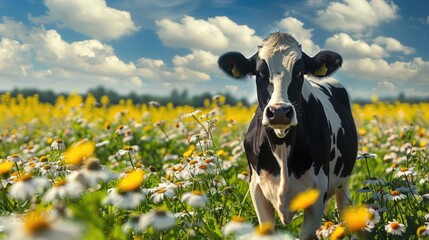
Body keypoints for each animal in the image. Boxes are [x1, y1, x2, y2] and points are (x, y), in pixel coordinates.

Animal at [217, 32, 358, 240]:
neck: (281, 145)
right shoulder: (256, 188)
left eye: (300, 73)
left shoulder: (318, 190)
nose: (279, 111)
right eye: (259, 72)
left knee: (343, 208)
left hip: (344, 182)